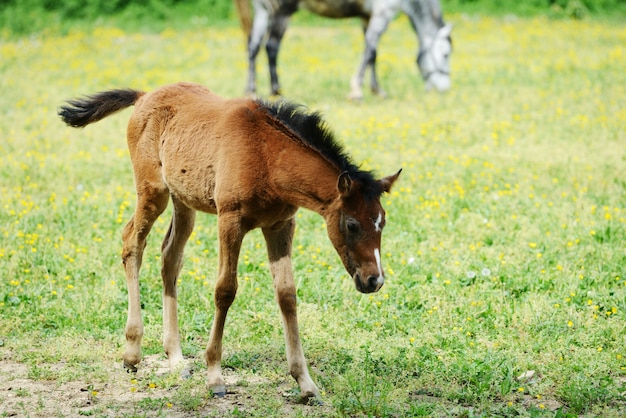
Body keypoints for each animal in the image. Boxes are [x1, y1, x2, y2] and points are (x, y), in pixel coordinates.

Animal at [59, 81, 400, 398]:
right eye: (352, 225)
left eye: (382, 222)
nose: (374, 280)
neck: (267, 157)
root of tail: (145, 95)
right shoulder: (230, 220)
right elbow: (225, 290)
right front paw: (214, 376)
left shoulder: (280, 225)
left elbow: (287, 295)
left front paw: (305, 383)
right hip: (153, 192)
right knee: (132, 242)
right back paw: (132, 353)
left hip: (184, 200)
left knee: (170, 257)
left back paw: (176, 359)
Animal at [234, 0, 448, 98]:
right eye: (446, 54)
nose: (445, 87)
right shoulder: (383, 13)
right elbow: (369, 50)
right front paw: (356, 91)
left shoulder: (367, 16)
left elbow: (373, 53)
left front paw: (377, 89)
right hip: (282, 11)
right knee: (271, 47)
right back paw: (275, 89)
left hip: (263, 11)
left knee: (253, 47)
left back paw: (250, 90)